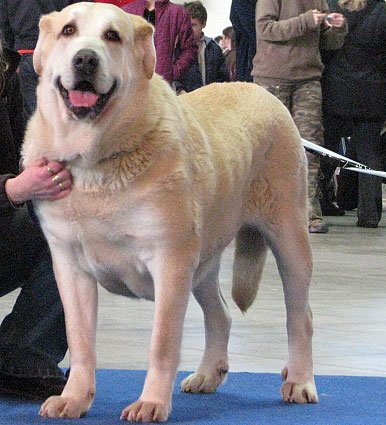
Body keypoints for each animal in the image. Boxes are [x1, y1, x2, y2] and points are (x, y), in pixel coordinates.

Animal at [22, 2, 320, 420]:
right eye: (68, 30)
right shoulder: (69, 265)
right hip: (204, 261)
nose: (85, 59)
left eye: (112, 36)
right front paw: (74, 398)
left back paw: (300, 381)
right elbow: (79, 339)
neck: (96, 162)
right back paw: (208, 374)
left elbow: (162, 342)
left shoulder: (170, 260)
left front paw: (150, 404)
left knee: (300, 316)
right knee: (221, 313)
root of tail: (259, 89)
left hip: (289, 236)